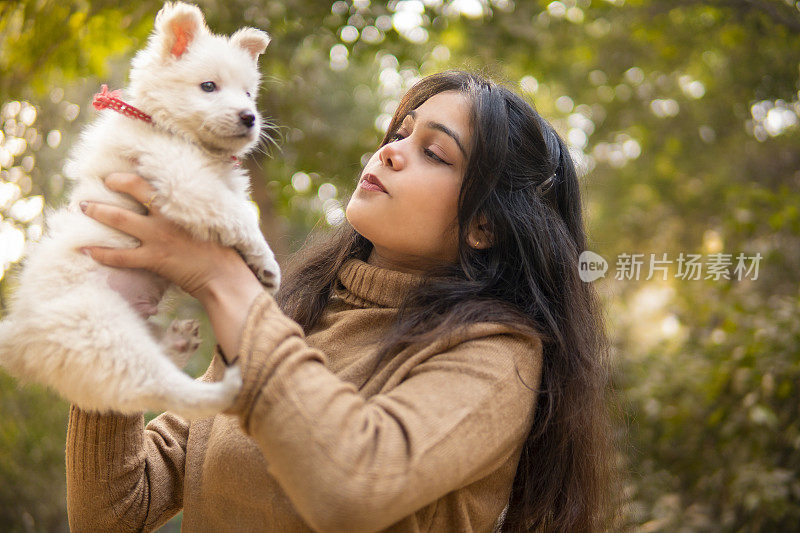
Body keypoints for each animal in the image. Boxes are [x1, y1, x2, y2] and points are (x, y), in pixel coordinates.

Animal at [0, 3, 282, 420]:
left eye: (249, 92)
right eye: (208, 86)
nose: (250, 116)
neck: (168, 128)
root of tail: (17, 334)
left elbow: (235, 214)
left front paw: (255, 263)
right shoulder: (183, 179)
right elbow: (239, 216)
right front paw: (267, 262)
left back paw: (178, 344)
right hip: (103, 332)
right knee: (158, 387)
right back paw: (229, 387)